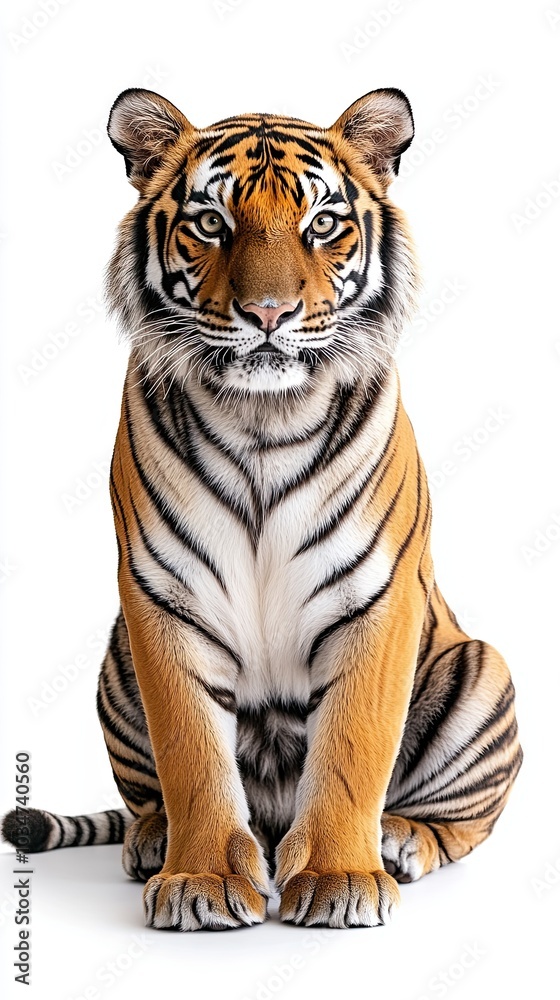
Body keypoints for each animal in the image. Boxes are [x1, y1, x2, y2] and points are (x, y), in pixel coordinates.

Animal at [2, 87, 522, 931]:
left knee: (462, 820)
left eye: (323, 224)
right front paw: (202, 881)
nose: (269, 313)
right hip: (115, 662)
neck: (263, 418)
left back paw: (403, 840)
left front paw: (341, 879)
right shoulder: (163, 598)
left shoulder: (376, 597)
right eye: (212, 222)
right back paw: (153, 840)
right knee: (151, 797)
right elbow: (191, 754)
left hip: (480, 669)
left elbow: (351, 748)